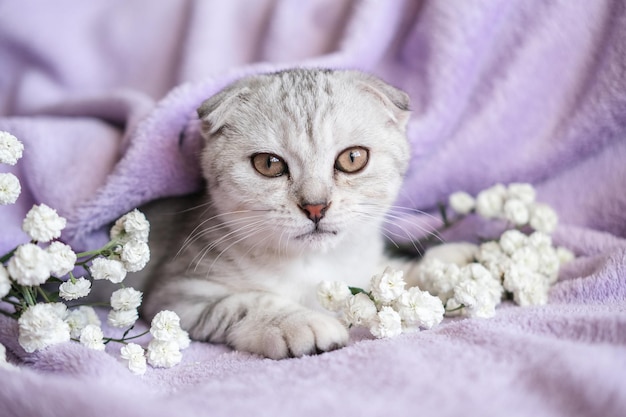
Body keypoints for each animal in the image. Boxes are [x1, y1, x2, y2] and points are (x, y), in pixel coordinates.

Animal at [141, 68, 460, 358]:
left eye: (352, 158)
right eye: (268, 164)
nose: (315, 206)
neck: (313, 264)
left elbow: (394, 274)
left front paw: (452, 266)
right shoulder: (176, 293)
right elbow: (243, 303)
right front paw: (301, 323)